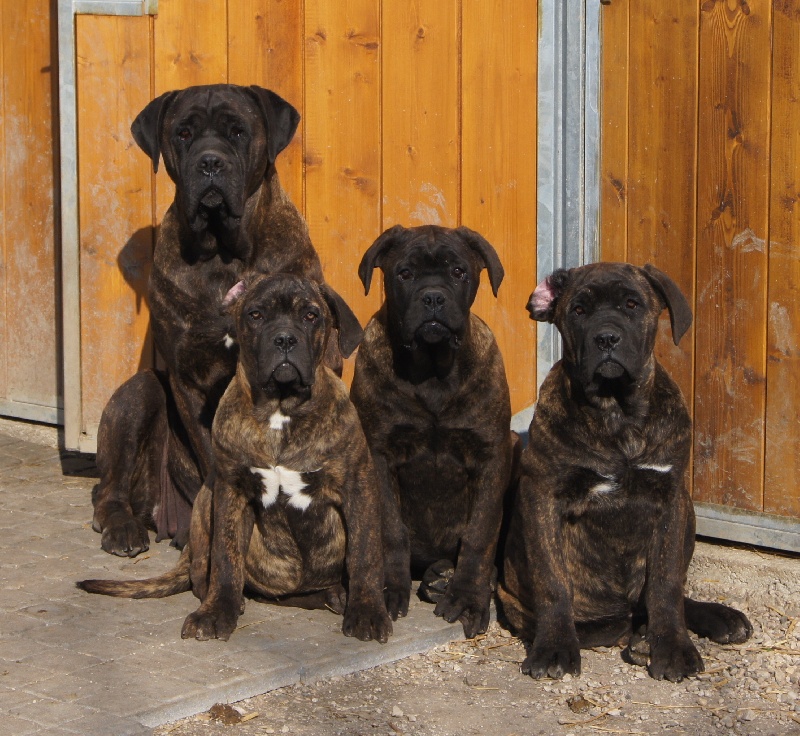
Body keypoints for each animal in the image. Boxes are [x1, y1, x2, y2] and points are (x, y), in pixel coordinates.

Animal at [79, 272, 392, 644]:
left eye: (310, 316)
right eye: (255, 315)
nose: (284, 339)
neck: (279, 410)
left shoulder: (358, 485)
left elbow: (365, 553)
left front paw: (368, 611)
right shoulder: (231, 490)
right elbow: (226, 559)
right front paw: (216, 612)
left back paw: (338, 594)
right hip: (204, 496)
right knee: (203, 571)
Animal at [348, 223, 512, 640]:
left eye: (458, 272)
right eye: (404, 273)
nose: (433, 297)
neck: (434, 372)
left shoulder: (491, 456)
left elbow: (479, 533)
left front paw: (468, 596)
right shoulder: (379, 456)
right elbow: (390, 530)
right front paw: (389, 588)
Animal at [500, 264, 752, 684]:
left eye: (632, 305)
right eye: (578, 311)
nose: (606, 337)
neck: (616, 411)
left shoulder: (671, 499)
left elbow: (666, 582)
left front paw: (673, 647)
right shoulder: (542, 496)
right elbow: (553, 581)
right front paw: (554, 648)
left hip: (689, 513)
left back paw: (711, 620)